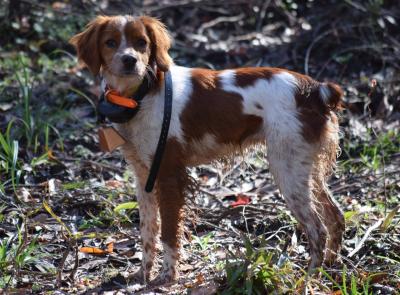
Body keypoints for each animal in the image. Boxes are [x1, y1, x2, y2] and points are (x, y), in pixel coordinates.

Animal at [70, 15, 346, 284]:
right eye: (110, 43)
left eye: (141, 43)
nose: (129, 60)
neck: (142, 95)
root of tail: (314, 89)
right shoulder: (143, 176)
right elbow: (148, 230)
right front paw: (143, 274)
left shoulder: (169, 174)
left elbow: (169, 232)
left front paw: (167, 276)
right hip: (305, 168)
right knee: (336, 216)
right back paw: (330, 266)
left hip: (287, 171)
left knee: (317, 229)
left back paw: (308, 278)